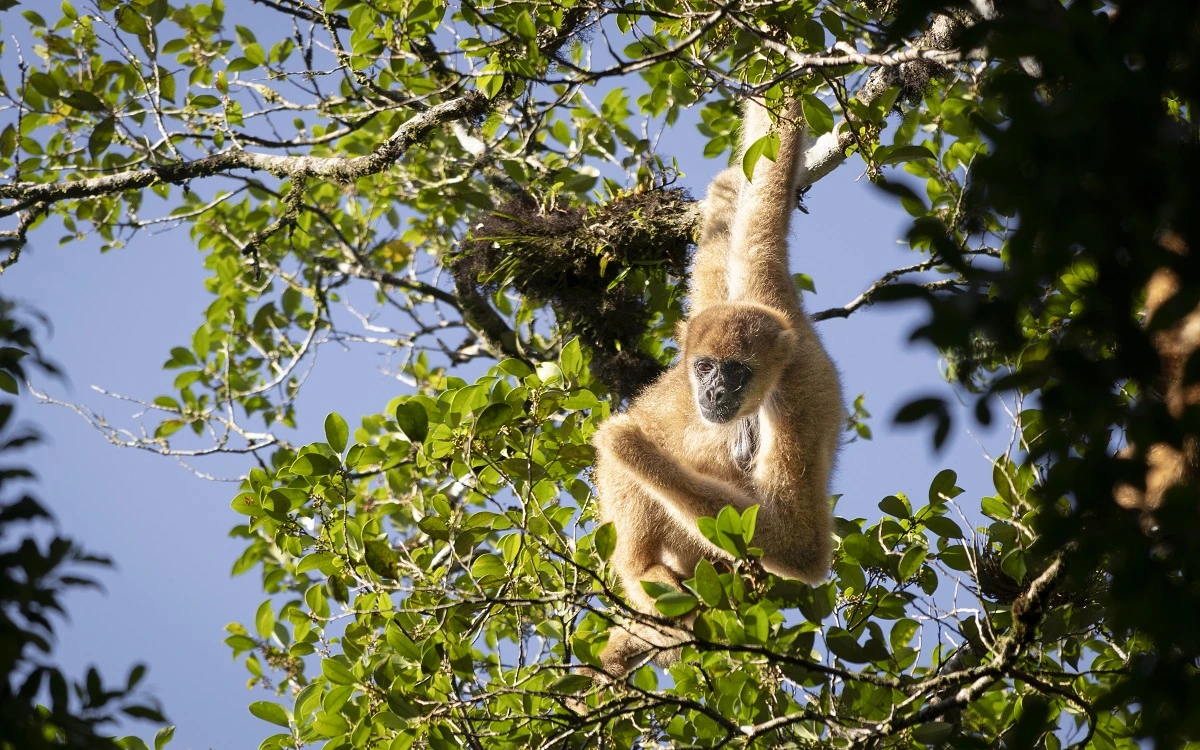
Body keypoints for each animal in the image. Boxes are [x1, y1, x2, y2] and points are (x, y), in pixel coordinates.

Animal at [590, 96, 844, 676]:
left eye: (737, 373)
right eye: (706, 368)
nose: (713, 394)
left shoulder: (801, 401)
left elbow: (801, 546)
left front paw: (627, 443)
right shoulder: (761, 289)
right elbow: (763, 193)